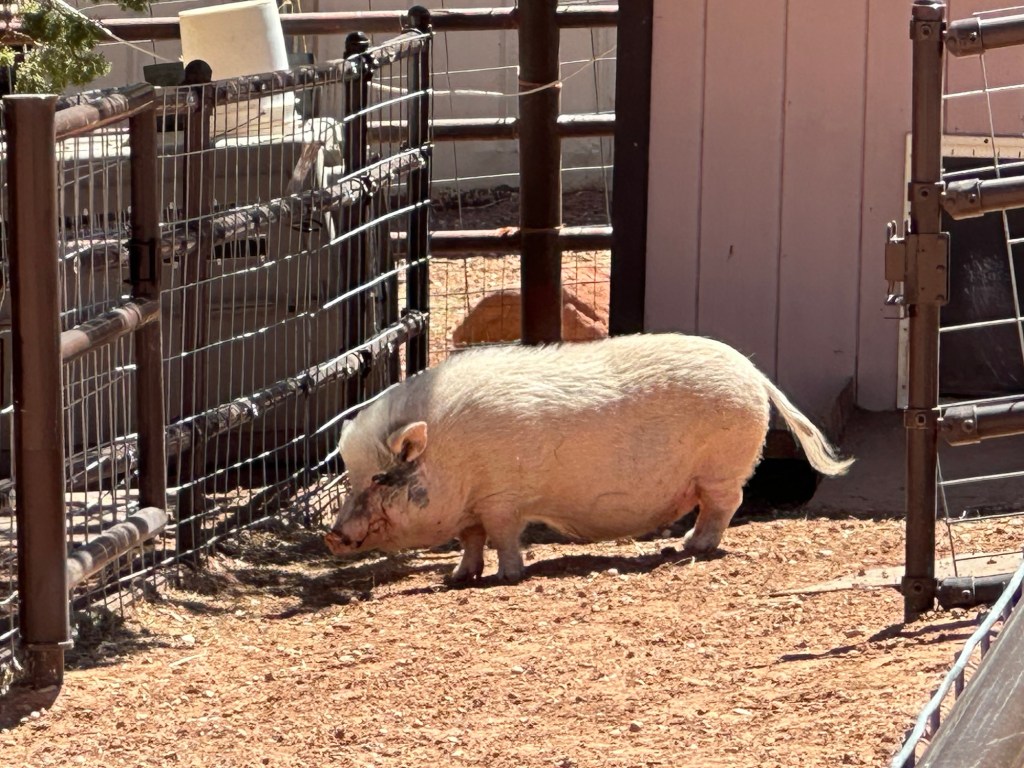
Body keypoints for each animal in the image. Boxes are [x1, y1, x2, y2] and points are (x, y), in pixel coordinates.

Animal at [324, 333, 853, 582]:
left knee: (727, 505)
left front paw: (507, 577)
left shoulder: (502, 499)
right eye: (352, 477)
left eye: (380, 478)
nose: (331, 535)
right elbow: (470, 540)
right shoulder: (471, 508)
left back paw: (690, 548)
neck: (451, 454)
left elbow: (503, 537)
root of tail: (754, 373)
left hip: (720, 468)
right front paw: (459, 577)